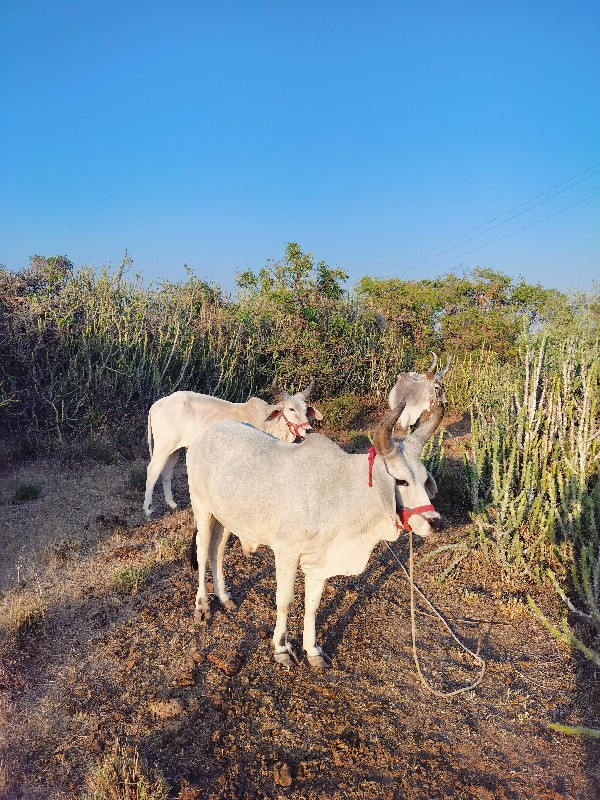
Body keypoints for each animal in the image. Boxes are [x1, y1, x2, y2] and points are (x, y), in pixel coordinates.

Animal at [143, 380, 322, 520]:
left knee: (166, 473)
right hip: (163, 446)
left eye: (305, 410)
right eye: (291, 409)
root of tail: (158, 403)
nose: (308, 430)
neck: (269, 423)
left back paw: (172, 504)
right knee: (152, 471)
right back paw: (147, 509)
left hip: (174, 449)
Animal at [188, 400, 446, 668]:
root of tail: (205, 435)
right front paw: (281, 648)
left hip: (225, 518)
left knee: (217, 551)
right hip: (202, 507)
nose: (435, 523)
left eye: (424, 479)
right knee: (203, 550)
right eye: (402, 481)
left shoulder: (321, 561)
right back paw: (202, 605)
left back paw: (224, 596)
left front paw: (312, 650)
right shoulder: (286, 553)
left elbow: (312, 605)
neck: (341, 491)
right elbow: (285, 600)